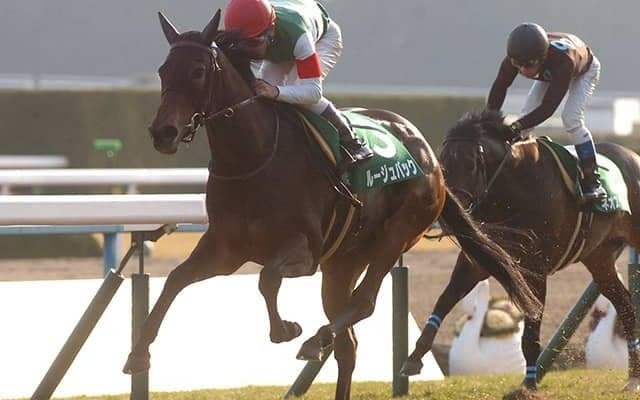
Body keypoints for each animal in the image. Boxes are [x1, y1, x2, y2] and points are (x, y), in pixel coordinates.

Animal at [122, 12, 540, 399]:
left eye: (197, 71)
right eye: (163, 70)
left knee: (364, 303)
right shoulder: (224, 250)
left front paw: (286, 329)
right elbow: (175, 280)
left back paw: (314, 339)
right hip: (343, 262)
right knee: (348, 345)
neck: (252, 157)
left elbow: (266, 278)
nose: (163, 133)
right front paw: (138, 355)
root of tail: (430, 156)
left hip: (397, 235)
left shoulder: (303, 251)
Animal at [401, 109, 640, 394]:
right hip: (599, 258)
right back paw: (633, 378)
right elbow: (444, 300)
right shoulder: (478, 260)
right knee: (625, 305)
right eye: (443, 164)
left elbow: (532, 328)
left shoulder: (536, 268)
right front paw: (413, 359)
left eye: (471, 164)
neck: (513, 191)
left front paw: (529, 384)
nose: (448, 215)